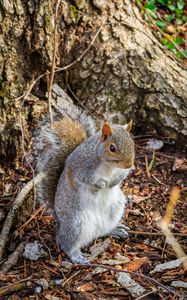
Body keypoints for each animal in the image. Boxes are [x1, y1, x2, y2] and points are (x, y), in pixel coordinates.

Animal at [34, 106, 134, 264]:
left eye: (132, 143)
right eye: (112, 148)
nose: (129, 164)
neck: (108, 166)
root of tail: (59, 222)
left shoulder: (120, 171)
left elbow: (120, 177)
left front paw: (112, 183)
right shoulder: (79, 164)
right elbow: (84, 178)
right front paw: (100, 185)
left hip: (115, 209)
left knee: (103, 231)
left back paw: (114, 230)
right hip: (75, 224)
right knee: (66, 244)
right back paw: (77, 256)